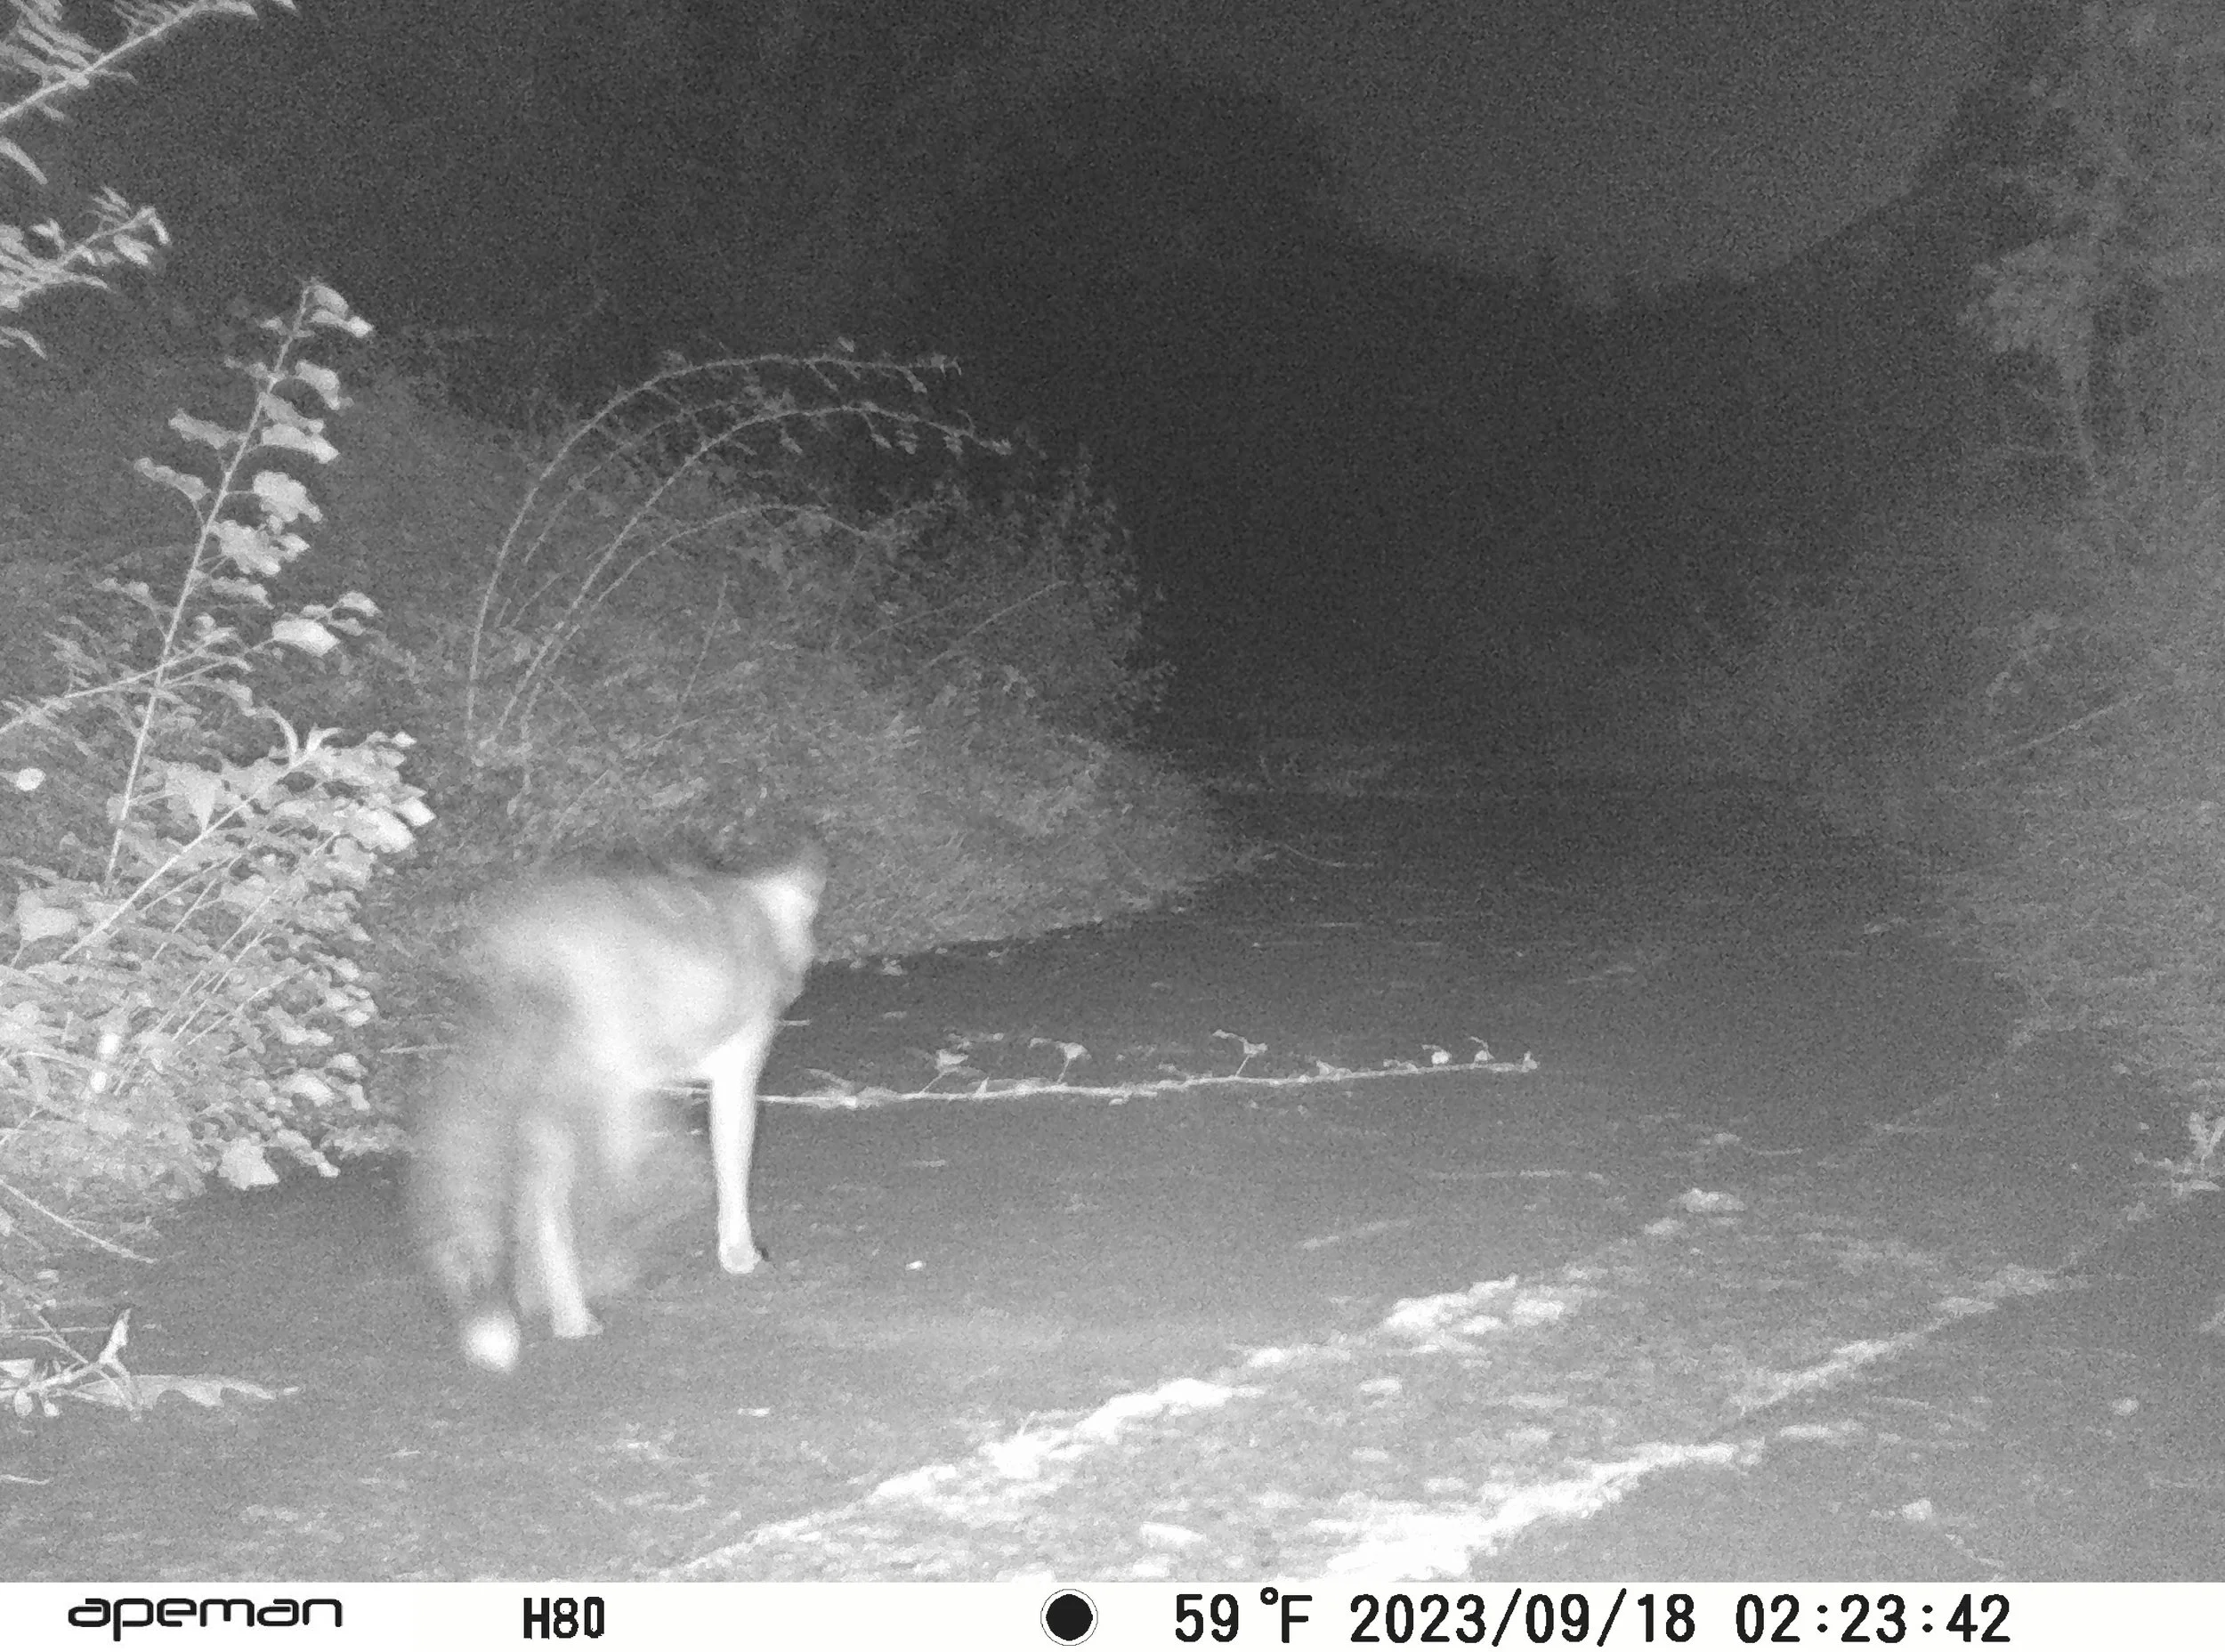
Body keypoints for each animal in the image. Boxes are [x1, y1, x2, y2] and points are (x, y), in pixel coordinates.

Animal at [410, 834, 828, 1374]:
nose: (799, 984)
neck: (755, 908)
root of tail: (521, 937)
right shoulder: (733, 1073)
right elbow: (730, 1174)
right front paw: (741, 1256)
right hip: (596, 1090)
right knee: (567, 1199)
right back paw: (588, 1294)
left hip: (549, 1101)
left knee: (537, 1200)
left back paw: (555, 1306)